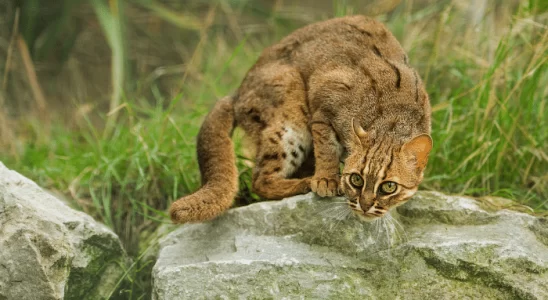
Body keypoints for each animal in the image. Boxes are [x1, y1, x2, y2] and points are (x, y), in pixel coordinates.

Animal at [170, 15, 432, 224]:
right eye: (356, 179)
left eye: (389, 187)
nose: (365, 206)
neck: (392, 121)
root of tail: (237, 91)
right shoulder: (323, 104)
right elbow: (326, 148)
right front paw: (326, 179)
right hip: (290, 110)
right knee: (260, 180)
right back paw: (305, 182)